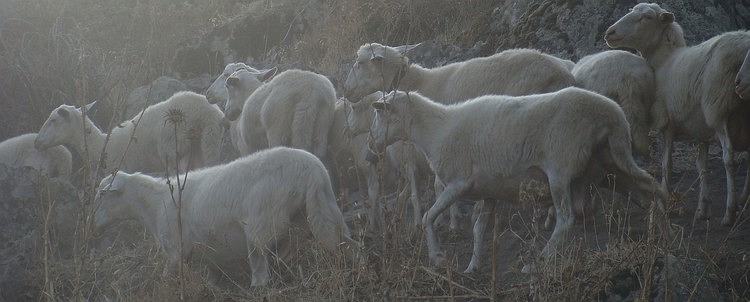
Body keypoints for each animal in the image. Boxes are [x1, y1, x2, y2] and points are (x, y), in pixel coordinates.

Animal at [36, 91, 223, 178]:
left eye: (53, 120)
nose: (37, 142)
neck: (102, 145)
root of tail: (206, 111)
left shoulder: (122, 169)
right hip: (204, 145)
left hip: (173, 150)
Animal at [94, 146, 362, 286]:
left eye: (102, 194)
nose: (94, 224)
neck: (152, 203)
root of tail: (311, 171)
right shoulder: (206, 253)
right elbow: (212, 276)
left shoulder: (177, 249)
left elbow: (169, 275)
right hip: (321, 210)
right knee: (344, 243)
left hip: (260, 222)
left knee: (261, 270)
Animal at [368, 88, 668, 274]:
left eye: (379, 115)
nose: (372, 148)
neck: (436, 130)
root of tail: (613, 113)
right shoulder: (489, 192)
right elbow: (478, 228)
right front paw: (473, 265)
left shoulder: (458, 182)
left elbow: (427, 217)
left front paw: (437, 258)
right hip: (610, 166)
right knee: (650, 188)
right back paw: (662, 229)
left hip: (561, 168)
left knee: (566, 218)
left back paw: (539, 262)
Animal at [604, 2, 750, 225]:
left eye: (647, 17)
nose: (610, 32)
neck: (664, 62)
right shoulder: (701, 131)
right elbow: (702, 167)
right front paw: (702, 210)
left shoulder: (667, 122)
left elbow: (667, 165)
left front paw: (664, 198)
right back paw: (744, 201)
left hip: (717, 108)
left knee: (728, 159)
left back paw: (730, 211)